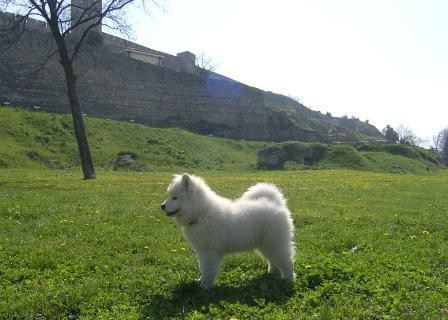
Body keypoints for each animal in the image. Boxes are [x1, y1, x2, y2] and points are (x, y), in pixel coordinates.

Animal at [160, 174, 294, 288]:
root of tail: (277, 205)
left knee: (287, 262)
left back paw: (289, 281)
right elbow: (203, 268)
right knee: (273, 261)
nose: (162, 206)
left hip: (275, 244)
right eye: (169, 196)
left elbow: (208, 270)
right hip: (266, 245)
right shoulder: (202, 252)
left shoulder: (209, 252)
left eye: (175, 197)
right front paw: (201, 281)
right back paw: (271, 272)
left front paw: (205, 286)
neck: (202, 213)